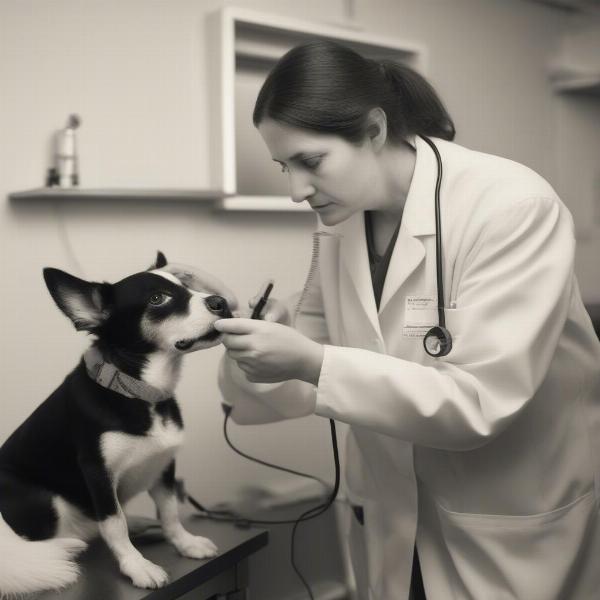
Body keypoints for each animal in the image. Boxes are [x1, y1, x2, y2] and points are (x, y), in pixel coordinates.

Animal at [0, 252, 232, 596]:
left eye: (189, 287)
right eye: (158, 299)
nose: (220, 301)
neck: (141, 392)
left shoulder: (164, 466)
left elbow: (169, 512)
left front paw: (184, 543)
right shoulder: (98, 473)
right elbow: (113, 523)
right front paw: (136, 566)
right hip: (42, 500)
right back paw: (66, 548)